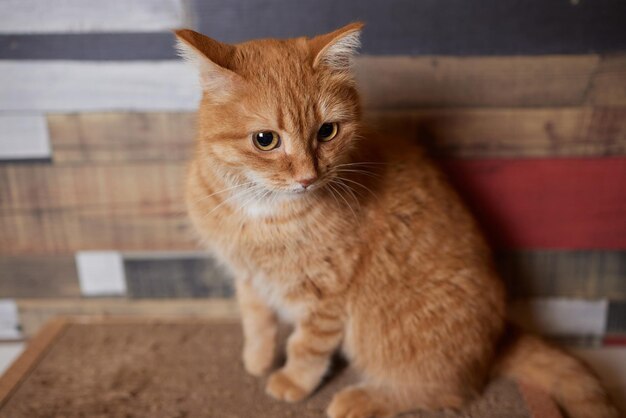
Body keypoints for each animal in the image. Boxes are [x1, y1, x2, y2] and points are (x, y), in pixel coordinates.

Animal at [173, 22, 616, 418]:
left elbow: (307, 346)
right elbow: (257, 322)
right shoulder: (248, 278)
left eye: (327, 131)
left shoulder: (327, 292)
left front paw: (293, 381)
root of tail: (499, 341)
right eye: (265, 140)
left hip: (384, 337)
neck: (259, 211)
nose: (307, 177)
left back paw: (362, 399)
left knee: (447, 392)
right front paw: (259, 359)